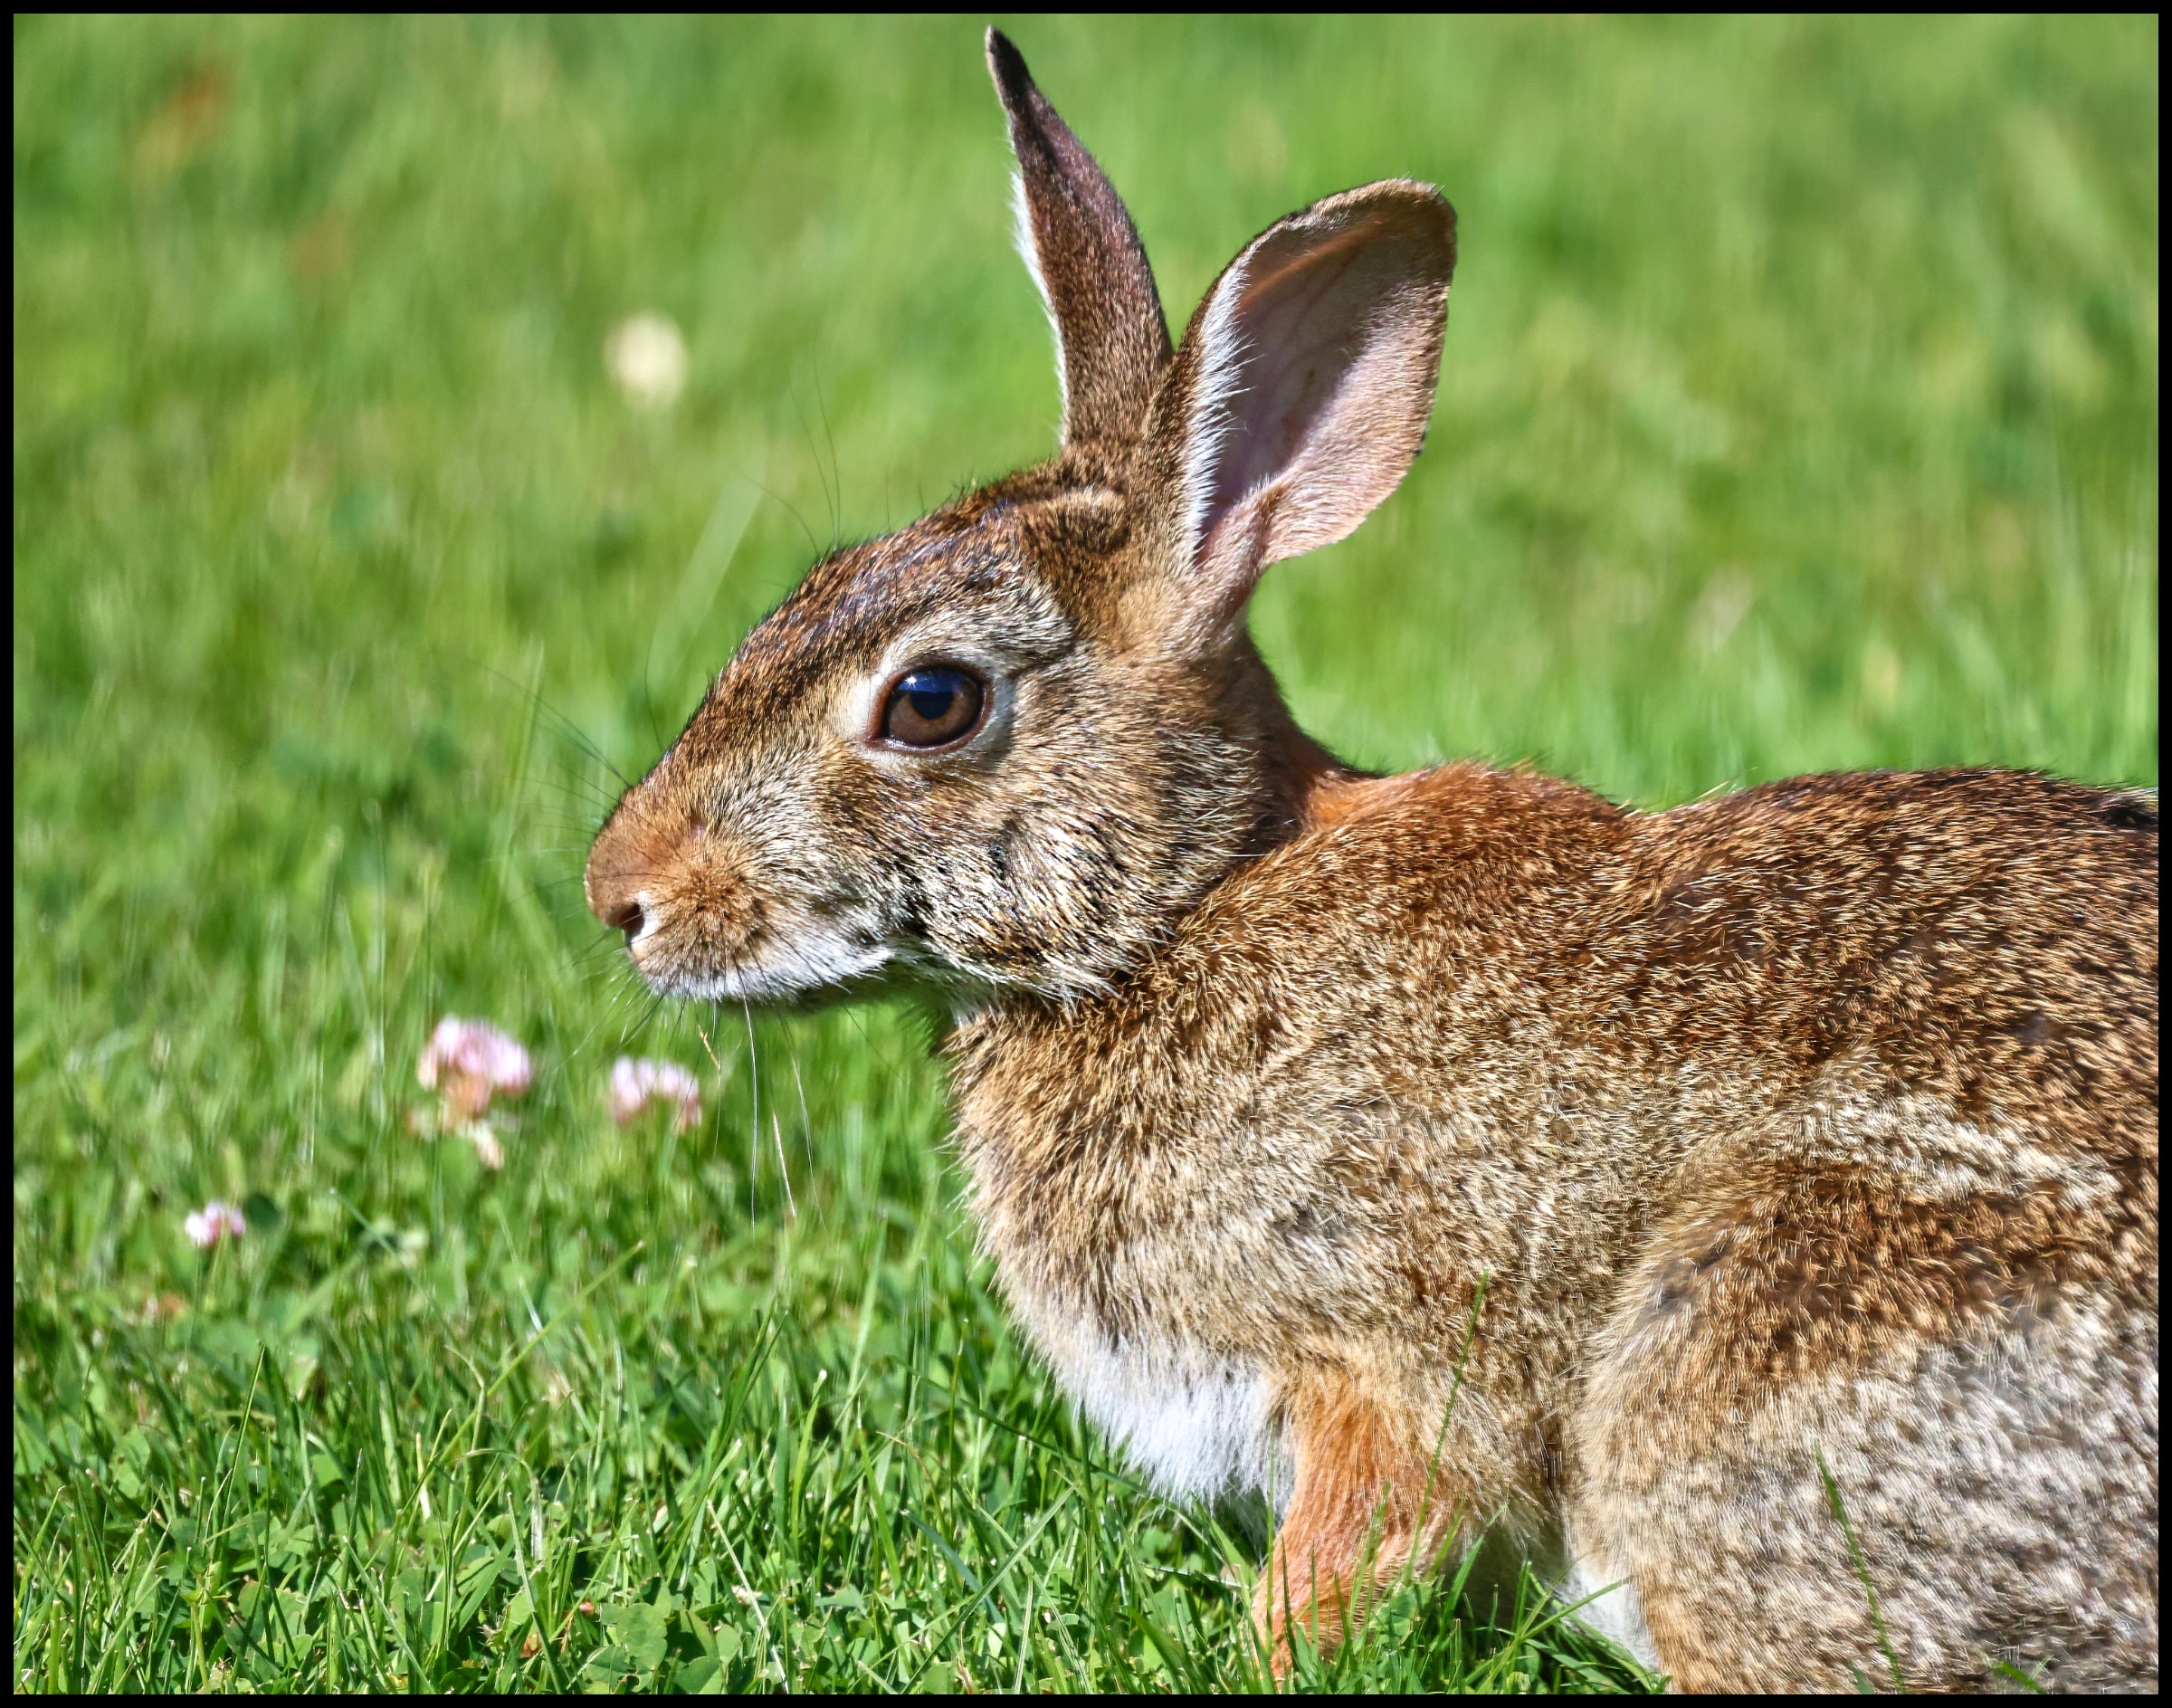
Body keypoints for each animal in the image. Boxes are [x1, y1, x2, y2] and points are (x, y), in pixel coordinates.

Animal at [585, 28, 2158, 1691]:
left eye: (933, 700)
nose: (620, 894)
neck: (1183, 906)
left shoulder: (1379, 1357)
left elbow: (1357, 1536)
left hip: (1742, 1370)